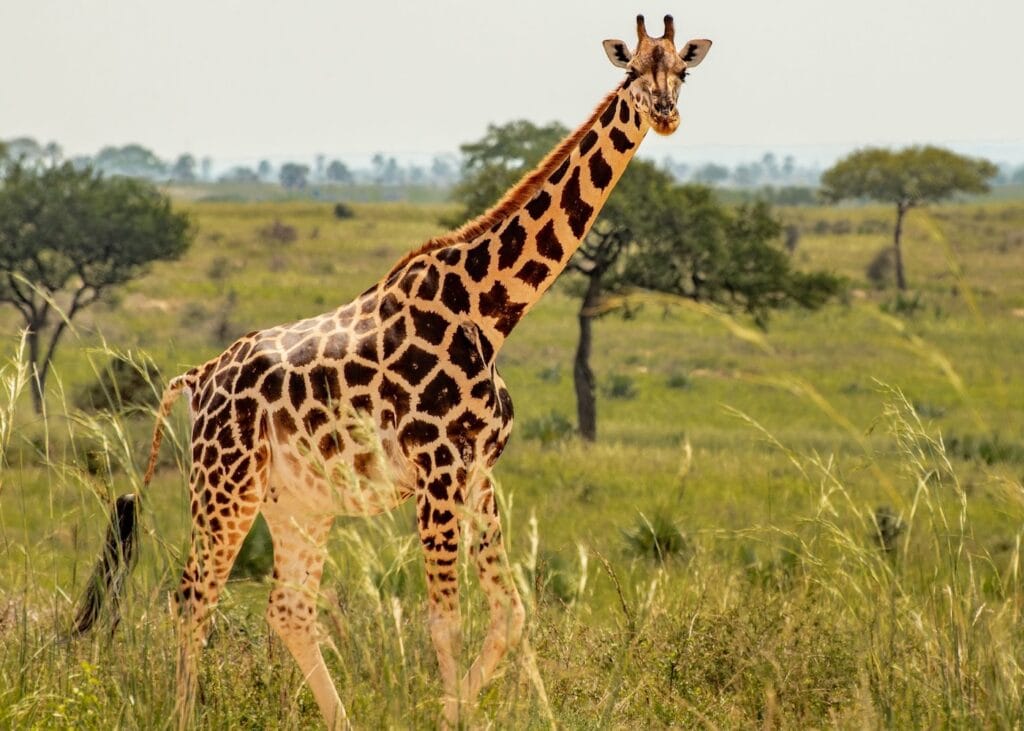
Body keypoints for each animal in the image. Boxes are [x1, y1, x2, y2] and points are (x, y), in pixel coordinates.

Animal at [75, 14, 711, 729]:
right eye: (631, 73)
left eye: (682, 73)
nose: (665, 115)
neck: (489, 311)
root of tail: (196, 376)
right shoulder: (437, 468)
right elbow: (446, 623)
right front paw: (452, 714)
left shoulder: (477, 471)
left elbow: (512, 613)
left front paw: (498, 710)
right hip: (224, 483)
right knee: (193, 597)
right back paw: (184, 713)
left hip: (296, 500)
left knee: (289, 609)